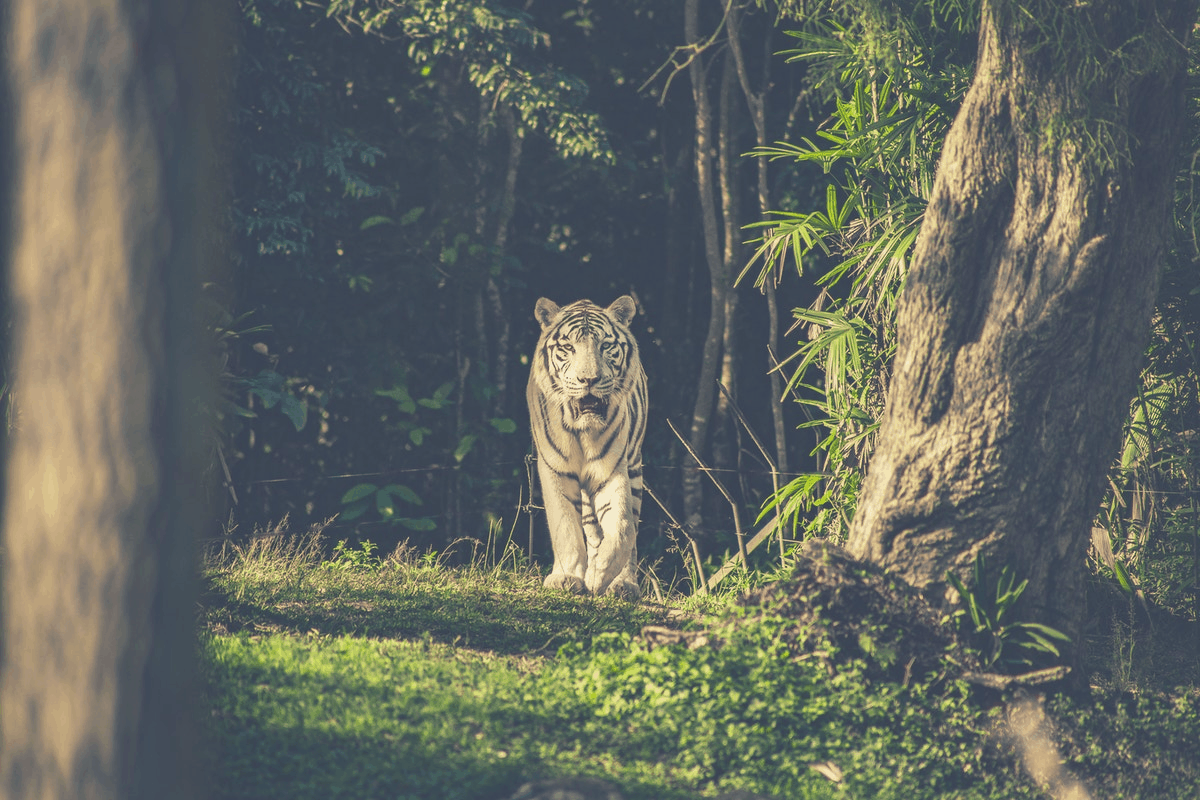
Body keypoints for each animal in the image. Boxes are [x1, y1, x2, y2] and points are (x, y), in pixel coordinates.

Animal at [528, 297, 648, 597]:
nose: (589, 380)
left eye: (605, 346)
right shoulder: (555, 469)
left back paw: (623, 584)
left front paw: (599, 574)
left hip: (635, 466)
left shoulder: (611, 470)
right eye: (568, 347)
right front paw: (567, 577)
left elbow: (623, 526)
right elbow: (565, 526)